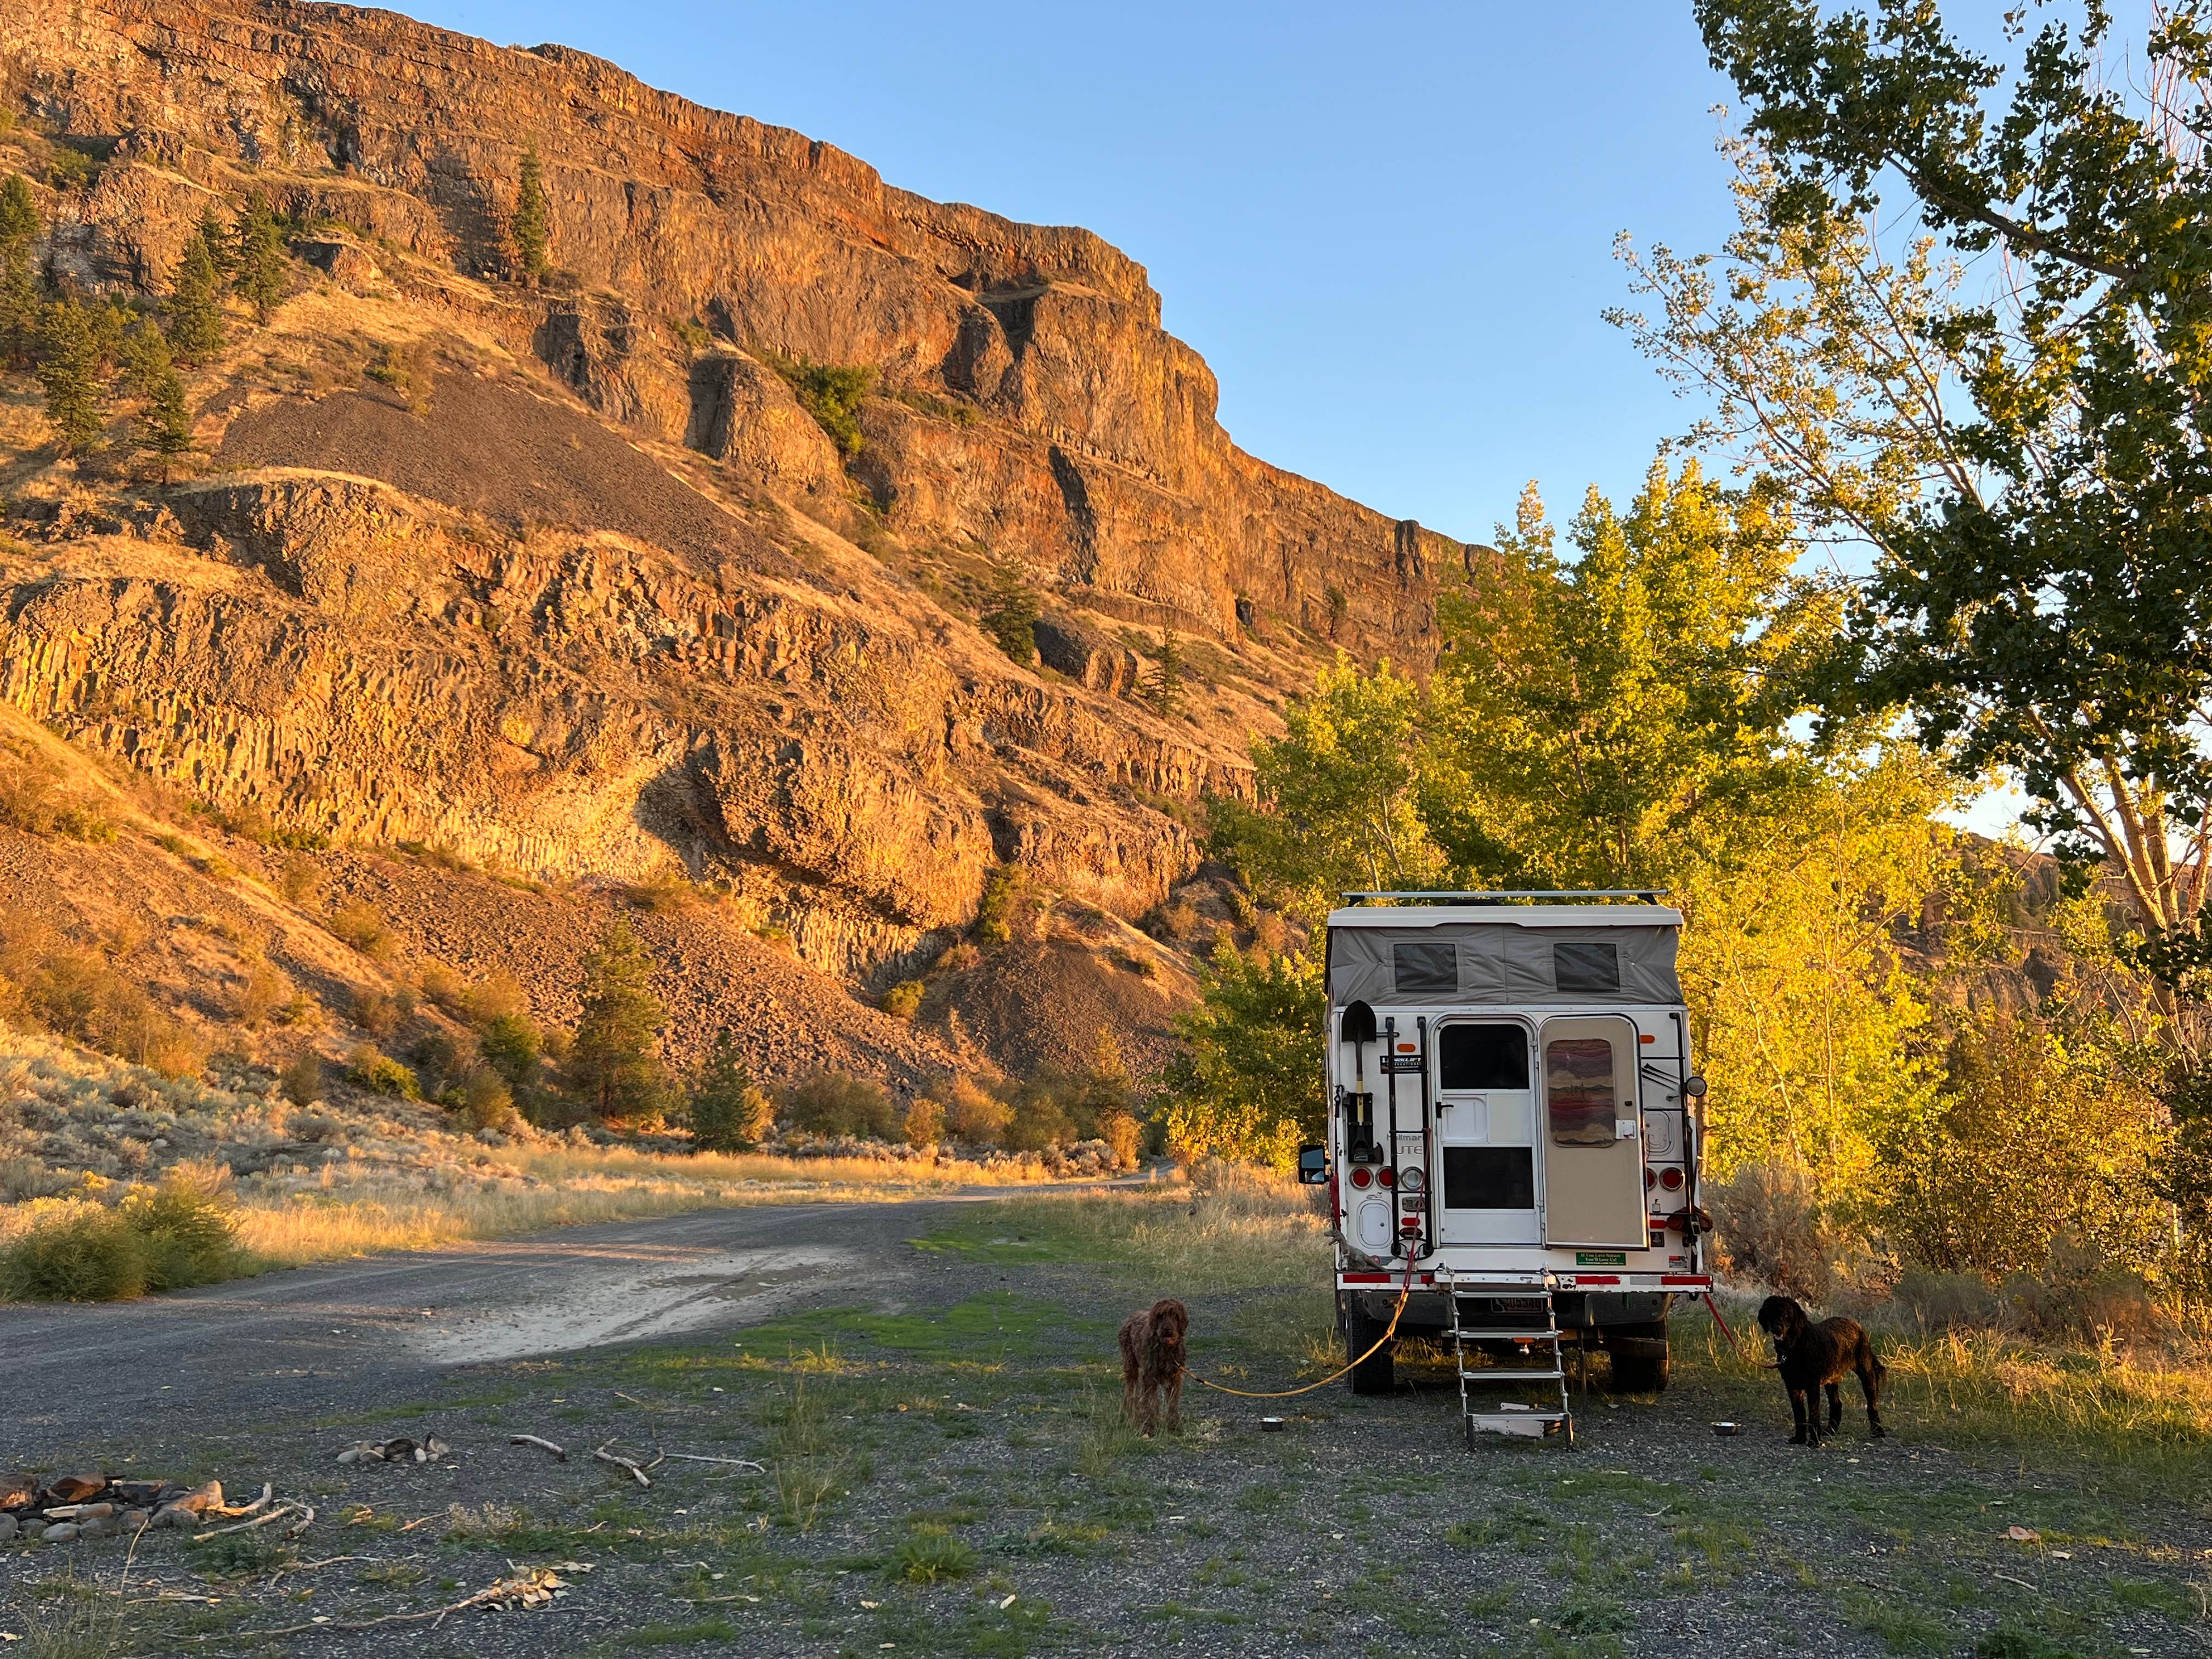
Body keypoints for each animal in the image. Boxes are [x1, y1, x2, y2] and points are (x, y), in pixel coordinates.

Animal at [1124, 1291, 1194, 1433]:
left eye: (1175, 1316)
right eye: (1160, 1316)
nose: (1167, 1330)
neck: (1166, 1350)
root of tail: (1132, 1316)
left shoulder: (1175, 1378)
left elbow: (1172, 1403)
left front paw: (1174, 1425)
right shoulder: (1150, 1377)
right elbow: (1149, 1402)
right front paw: (1148, 1426)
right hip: (1131, 1366)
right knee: (1131, 1391)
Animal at [1752, 1291, 1893, 1451]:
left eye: (1787, 1314)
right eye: (1771, 1313)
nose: (1777, 1328)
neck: (1795, 1346)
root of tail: (1856, 1325)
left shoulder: (1812, 1386)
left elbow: (1814, 1415)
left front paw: (1814, 1441)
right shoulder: (1792, 1385)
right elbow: (1799, 1414)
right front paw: (1800, 1438)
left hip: (1866, 1373)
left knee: (1872, 1405)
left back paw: (1878, 1431)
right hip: (1832, 1380)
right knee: (1837, 1404)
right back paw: (1831, 1430)